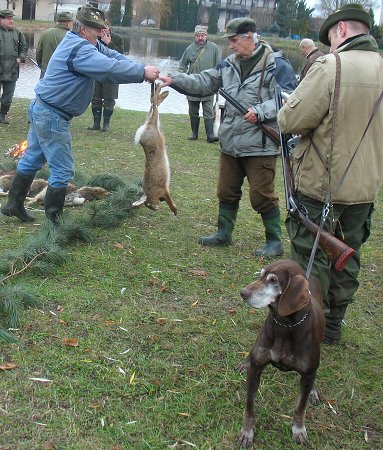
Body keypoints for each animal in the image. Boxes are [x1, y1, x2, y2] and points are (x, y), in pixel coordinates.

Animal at [240, 260, 324, 446]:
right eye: (261, 275)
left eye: (273, 280)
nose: (242, 292)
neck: (285, 324)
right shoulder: (256, 369)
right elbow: (250, 406)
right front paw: (247, 431)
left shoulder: (308, 373)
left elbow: (301, 407)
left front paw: (298, 430)